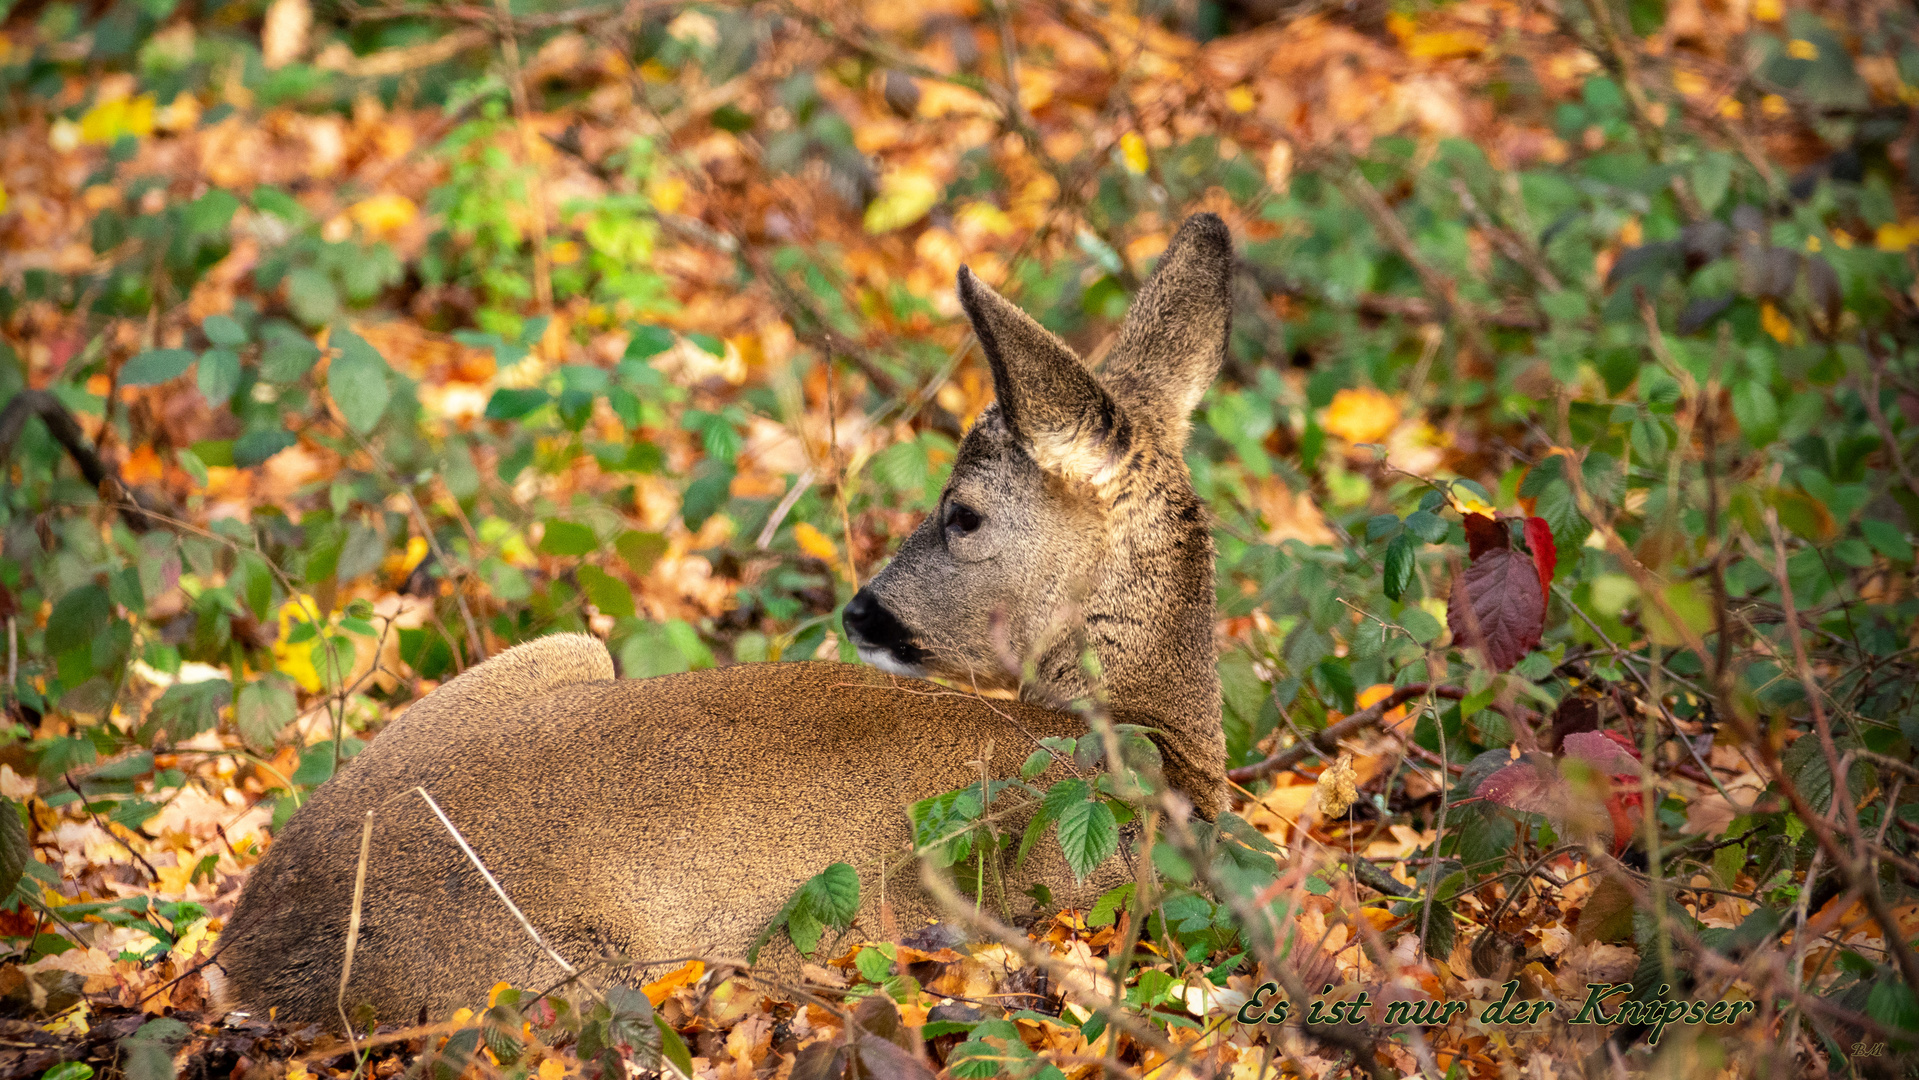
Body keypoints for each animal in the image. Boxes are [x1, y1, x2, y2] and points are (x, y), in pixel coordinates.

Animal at [210, 213, 1228, 1028]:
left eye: (963, 513)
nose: (860, 610)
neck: (1157, 752)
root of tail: (243, 961)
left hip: (564, 654)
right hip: (582, 969)